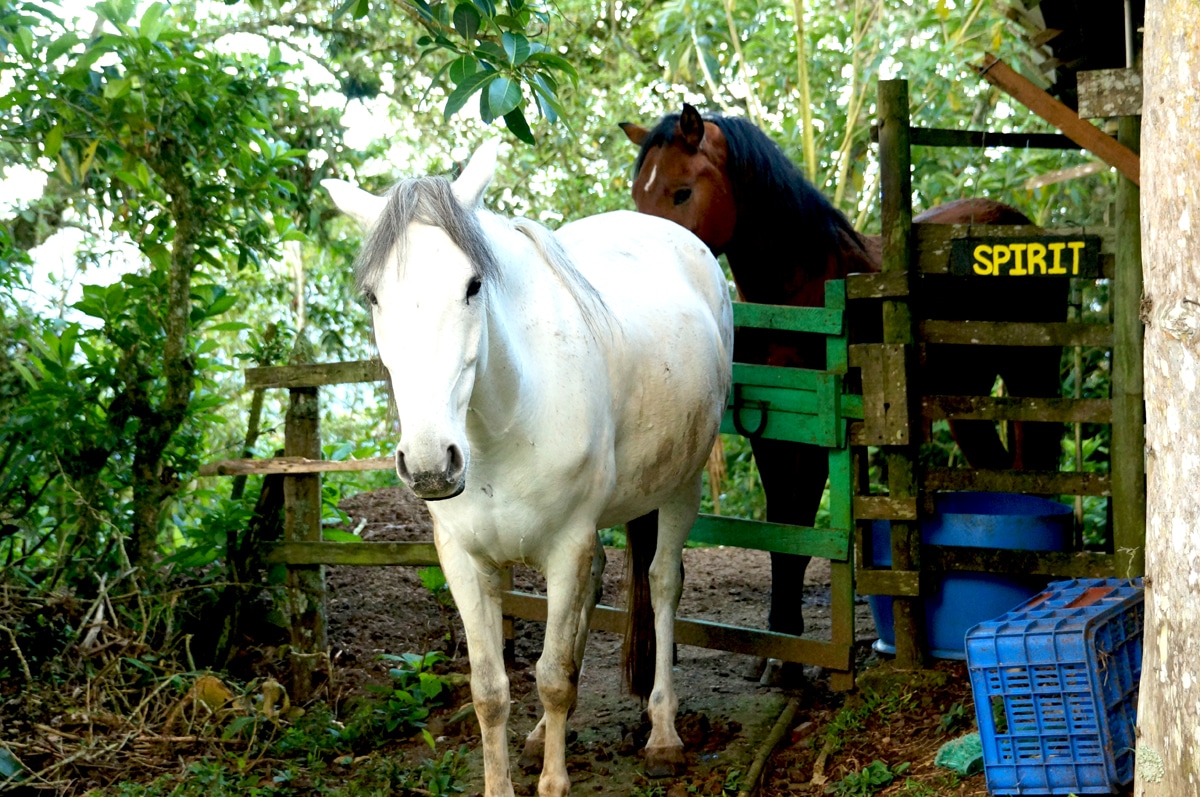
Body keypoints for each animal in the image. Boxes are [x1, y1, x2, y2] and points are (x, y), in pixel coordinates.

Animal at [321, 143, 729, 797]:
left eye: (472, 285)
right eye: (372, 297)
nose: (431, 461)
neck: (506, 420)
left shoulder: (566, 547)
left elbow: (554, 676)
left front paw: (554, 780)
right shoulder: (465, 561)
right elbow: (491, 689)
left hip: (681, 486)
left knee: (664, 581)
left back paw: (663, 733)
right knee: (600, 584)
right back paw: (541, 734)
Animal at [619, 104, 1060, 667]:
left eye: (680, 192)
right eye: (638, 195)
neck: (798, 297)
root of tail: (1019, 222)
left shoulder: (816, 433)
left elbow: (800, 525)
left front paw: (786, 654)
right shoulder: (770, 426)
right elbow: (781, 528)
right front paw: (778, 641)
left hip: (1033, 380)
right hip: (967, 403)